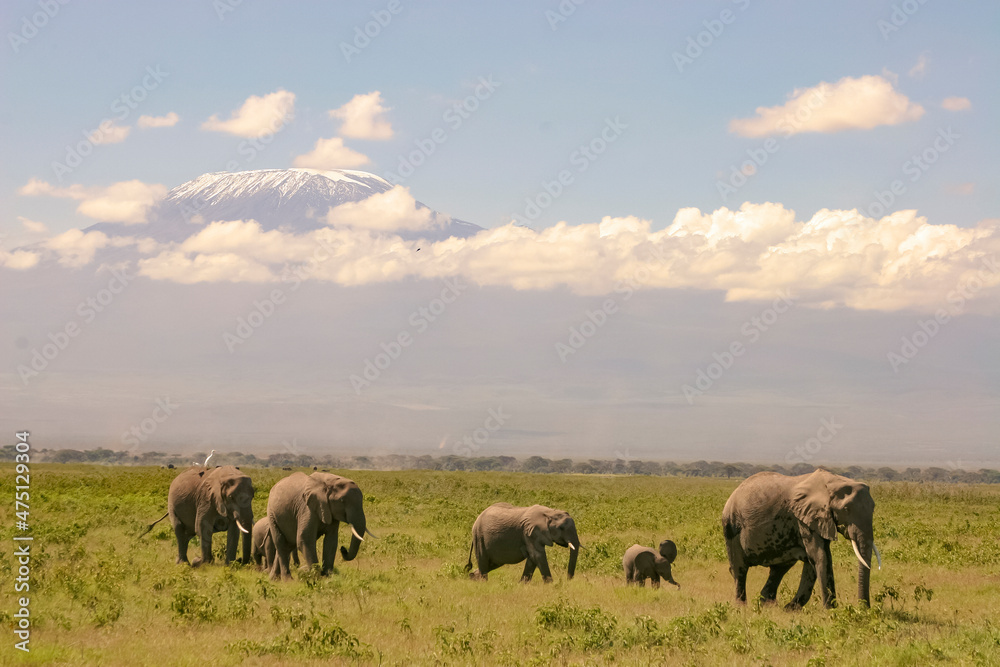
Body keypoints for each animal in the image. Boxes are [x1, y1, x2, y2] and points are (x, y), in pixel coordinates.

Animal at [720, 470, 884, 612]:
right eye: (846, 509)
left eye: (873, 508)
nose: (864, 609)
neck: (833, 482)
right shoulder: (804, 518)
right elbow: (821, 557)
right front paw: (831, 611)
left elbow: (814, 561)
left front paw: (790, 610)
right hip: (731, 526)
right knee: (740, 569)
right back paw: (742, 607)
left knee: (778, 569)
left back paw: (768, 605)